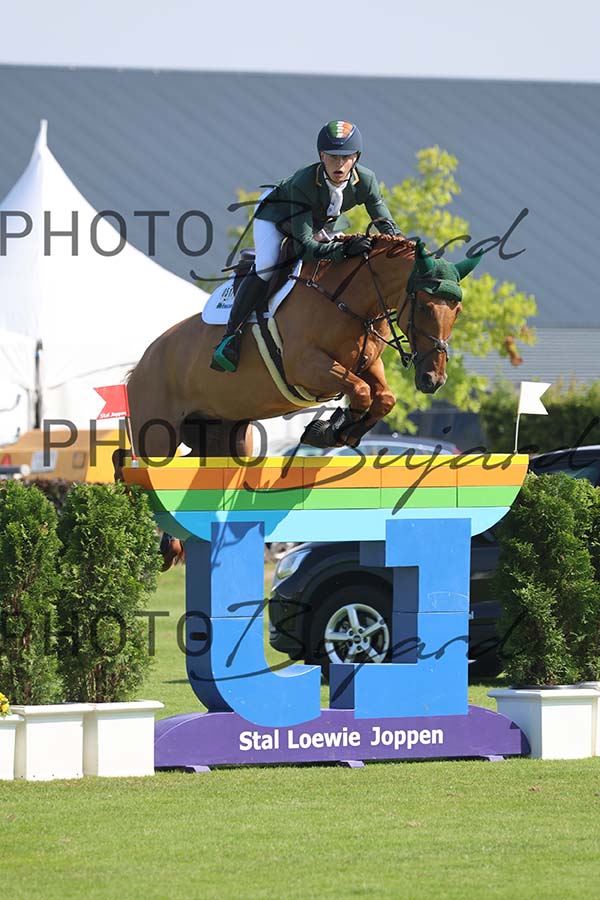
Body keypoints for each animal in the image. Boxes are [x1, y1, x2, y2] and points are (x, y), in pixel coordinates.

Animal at [116, 234, 481, 476]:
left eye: (458, 311)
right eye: (424, 307)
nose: (433, 380)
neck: (347, 300)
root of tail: (138, 369)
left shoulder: (367, 362)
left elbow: (383, 397)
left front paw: (344, 430)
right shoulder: (307, 367)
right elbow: (361, 391)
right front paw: (330, 429)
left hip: (225, 435)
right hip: (157, 435)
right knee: (135, 465)